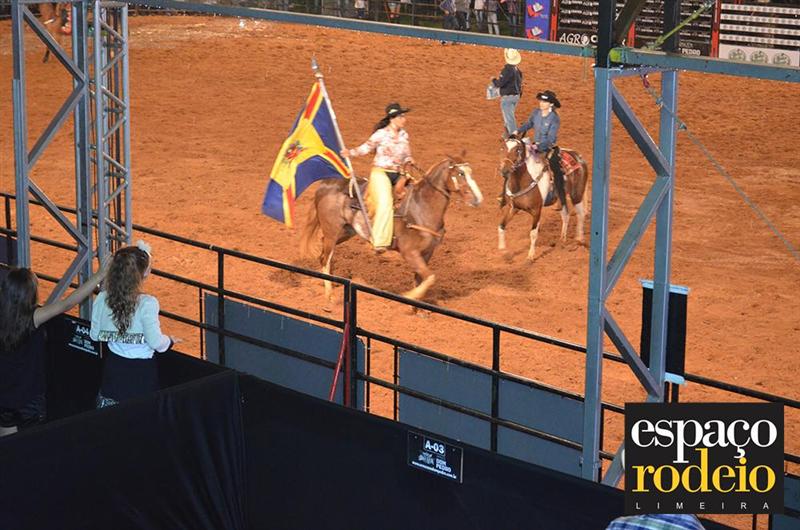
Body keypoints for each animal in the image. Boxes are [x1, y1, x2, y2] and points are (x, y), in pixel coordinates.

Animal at [301, 156, 483, 303]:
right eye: (460, 174)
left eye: (471, 172)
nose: (478, 199)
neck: (421, 207)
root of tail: (326, 183)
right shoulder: (410, 253)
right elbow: (430, 278)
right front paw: (408, 297)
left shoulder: (427, 253)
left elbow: (422, 279)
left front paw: (418, 310)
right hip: (332, 231)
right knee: (326, 258)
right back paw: (330, 296)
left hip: (346, 231)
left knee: (324, 254)